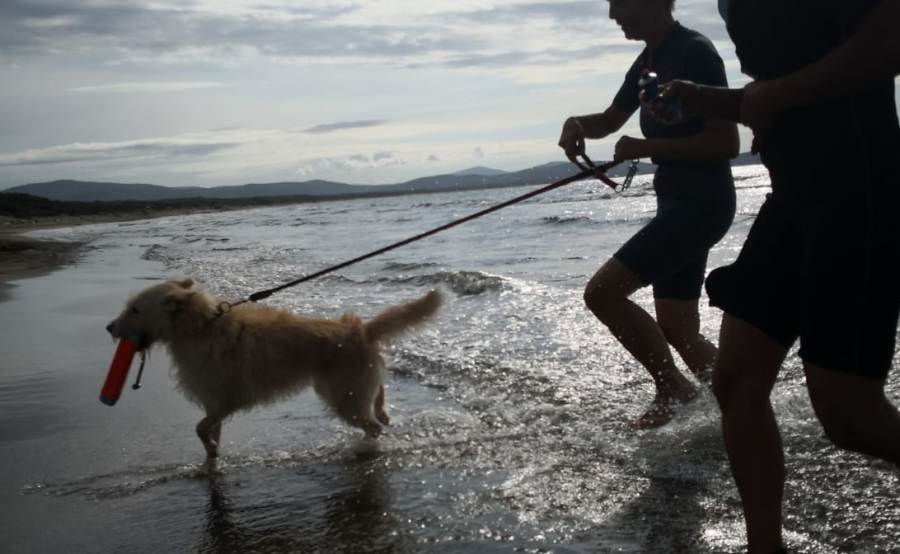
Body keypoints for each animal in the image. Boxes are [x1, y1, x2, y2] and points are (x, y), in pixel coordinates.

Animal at [107, 278, 442, 454]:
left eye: (135, 309)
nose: (109, 327)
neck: (199, 326)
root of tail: (362, 330)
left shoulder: (224, 401)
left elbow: (201, 428)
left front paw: (211, 451)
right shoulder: (214, 404)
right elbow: (208, 432)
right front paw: (211, 460)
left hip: (343, 396)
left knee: (371, 426)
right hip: (353, 387)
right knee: (378, 395)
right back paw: (382, 410)